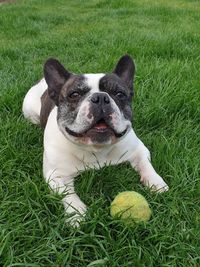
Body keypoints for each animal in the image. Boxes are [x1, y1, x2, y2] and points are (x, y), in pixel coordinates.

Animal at [22, 55, 169, 227]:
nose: (100, 98)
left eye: (119, 94)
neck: (96, 148)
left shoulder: (138, 149)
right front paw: (76, 213)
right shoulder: (56, 174)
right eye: (74, 94)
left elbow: (146, 165)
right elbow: (68, 194)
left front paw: (156, 182)